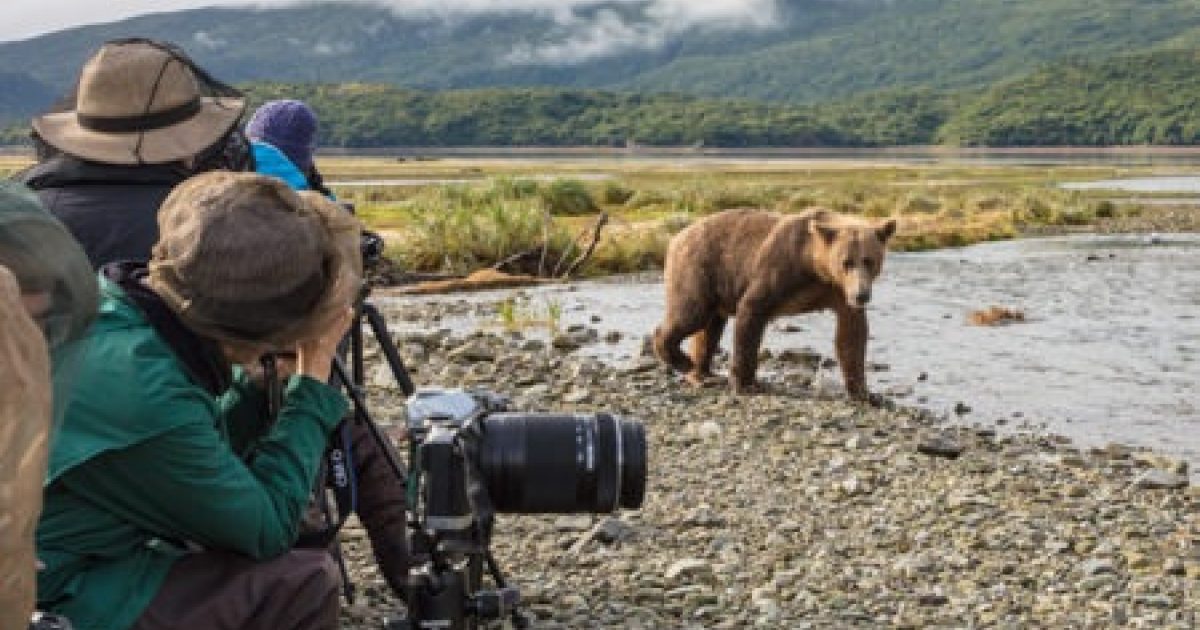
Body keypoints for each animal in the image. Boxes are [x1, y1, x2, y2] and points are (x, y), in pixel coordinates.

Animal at [652, 207, 896, 398]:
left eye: (869, 261)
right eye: (846, 262)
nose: (862, 295)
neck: (815, 267)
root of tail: (677, 237)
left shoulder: (836, 292)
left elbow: (851, 334)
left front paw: (865, 393)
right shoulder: (781, 268)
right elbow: (751, 310)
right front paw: (746, 383)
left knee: (710, 329)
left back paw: (702, 374)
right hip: (699, 269)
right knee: (692, 314)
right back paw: (682, 360)